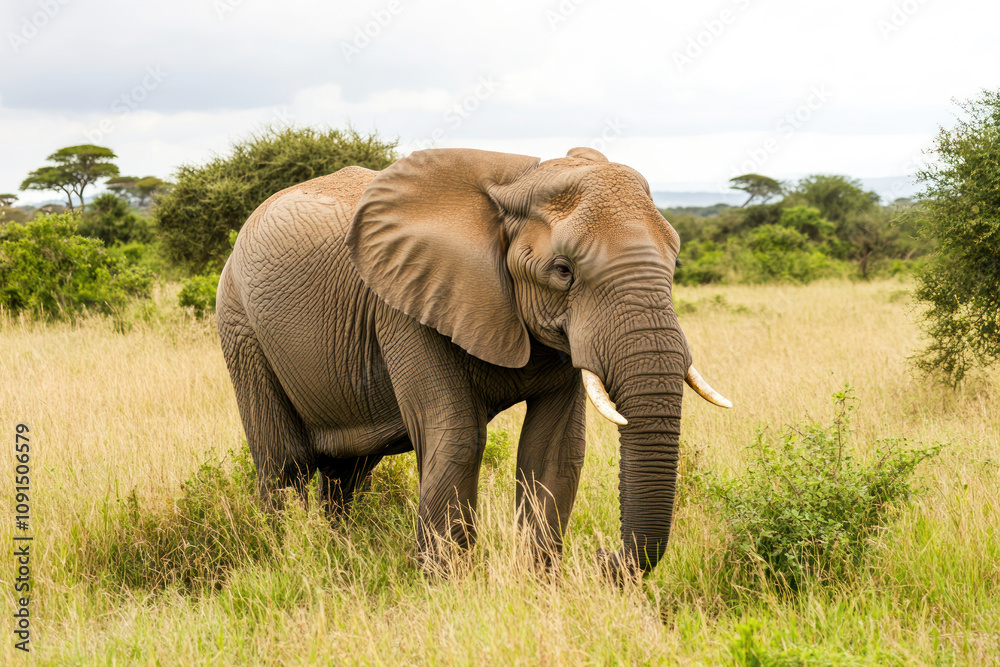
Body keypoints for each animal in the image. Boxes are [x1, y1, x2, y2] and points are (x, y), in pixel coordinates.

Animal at [216, 146, 731, 576]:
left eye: (675, 263)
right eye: (562, 271)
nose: (604, 557)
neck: (518, 184)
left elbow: (556, 449)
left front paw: (537, 584)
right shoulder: (405, 304)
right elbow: (458, 435)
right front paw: (445, 586)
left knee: (348, 470)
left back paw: (335, 549)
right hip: (239, 322)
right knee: (285, 464)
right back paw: (285, 555)